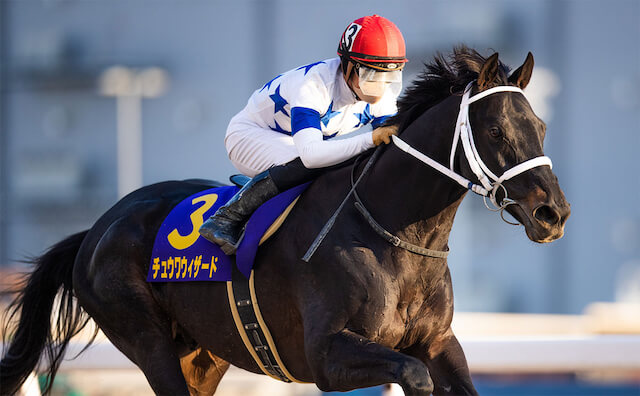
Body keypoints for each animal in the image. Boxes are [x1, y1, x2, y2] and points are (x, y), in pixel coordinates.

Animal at [0, 47, 568, 396]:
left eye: (540, 125)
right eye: (495, 131)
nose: (553, 213)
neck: (395, 238)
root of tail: (95, 231)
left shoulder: (437, 342)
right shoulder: (326, 357)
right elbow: (412, 375)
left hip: (202, 354)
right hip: (147, 340)